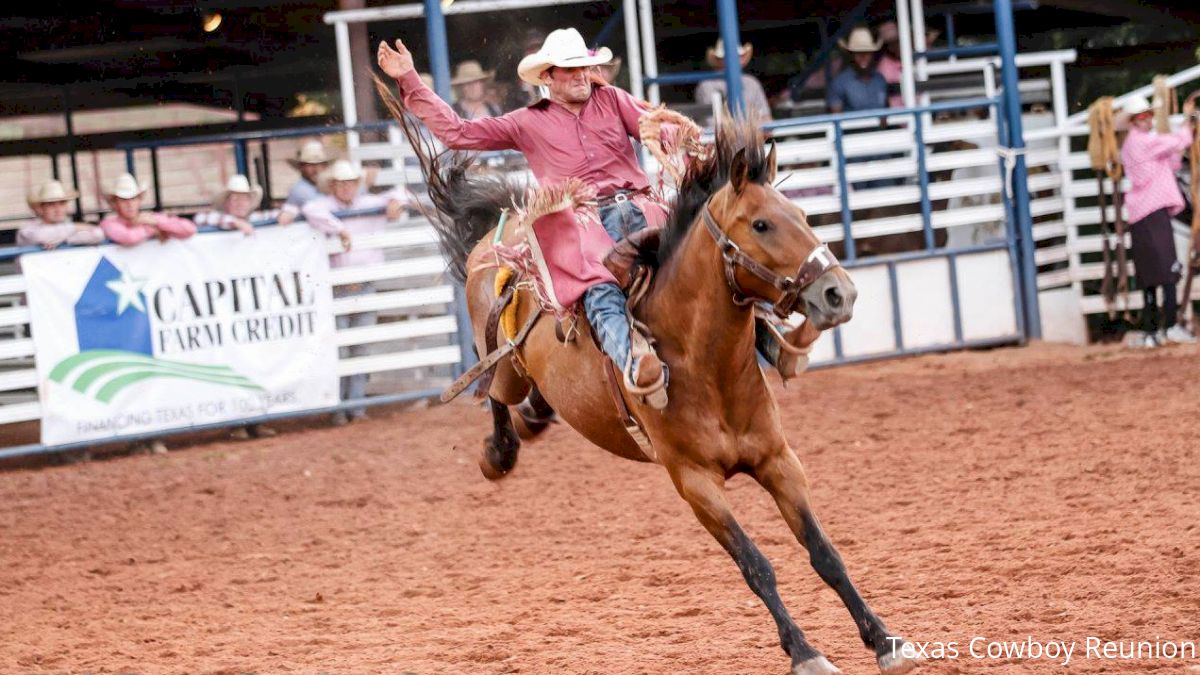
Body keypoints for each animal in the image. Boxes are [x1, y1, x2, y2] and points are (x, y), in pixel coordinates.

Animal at [379, 79, 921, 672]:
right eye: (760, 223)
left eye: (800, 213)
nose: (839, 293)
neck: (706, 368)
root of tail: (503, 234)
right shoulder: (694, 482)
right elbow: (756, 565)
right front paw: (804, 651)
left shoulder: (779, 460)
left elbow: (825, 553)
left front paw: (885, 640)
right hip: (506, 367)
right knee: (494, 394)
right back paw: (498, 453)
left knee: (534, 403)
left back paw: (535, 420)